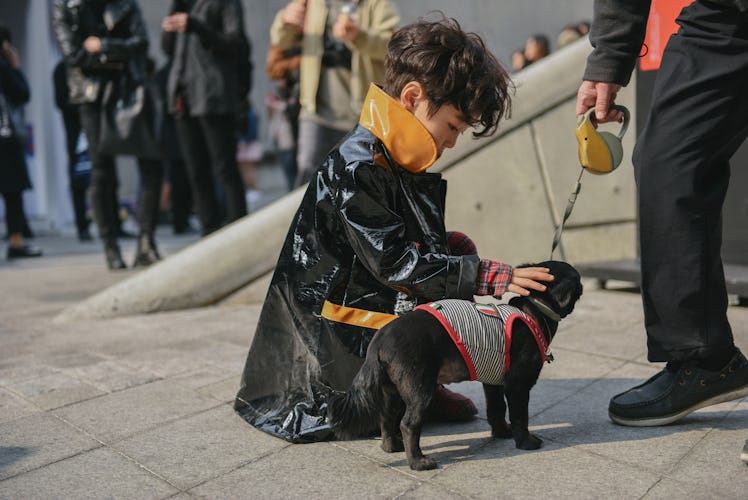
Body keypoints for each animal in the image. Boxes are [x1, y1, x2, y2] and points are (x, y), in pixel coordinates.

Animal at [328, 260, 584, 470]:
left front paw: (502, 433)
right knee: (409, 424)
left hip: (392, 390)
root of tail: (380, 339)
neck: (533, 310)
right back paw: (418, 462)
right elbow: (520, 416)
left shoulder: (493, 382)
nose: (581, 283)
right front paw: (526, 442)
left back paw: (391, 447)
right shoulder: (517, 386)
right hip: (421, 389)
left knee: (386, 416)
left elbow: (496, 410)